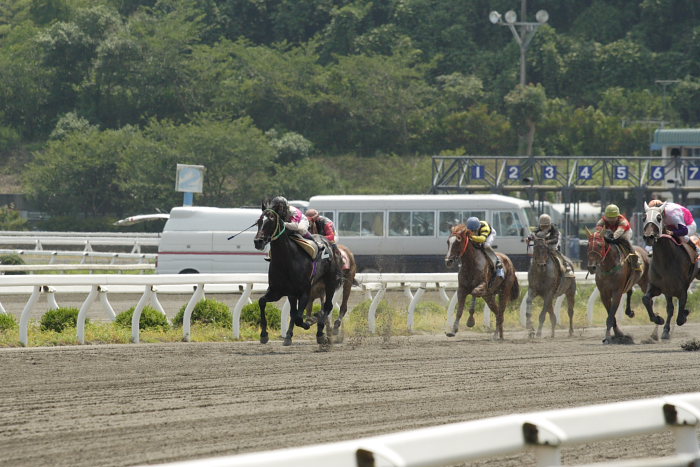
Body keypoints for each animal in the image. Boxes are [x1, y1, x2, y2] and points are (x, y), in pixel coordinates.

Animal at [254, 201, 342, 348]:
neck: (286, 260)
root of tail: (330, 243)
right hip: (298, 291)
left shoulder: (304, 292)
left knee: (327, 306)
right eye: (259, 221)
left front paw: (310, 322)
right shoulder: (277, 291)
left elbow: (299, 319)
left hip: (330, 282)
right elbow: (262, 302)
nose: (258, 241)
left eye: (271, 221)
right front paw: (264, 335)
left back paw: (320, 332)